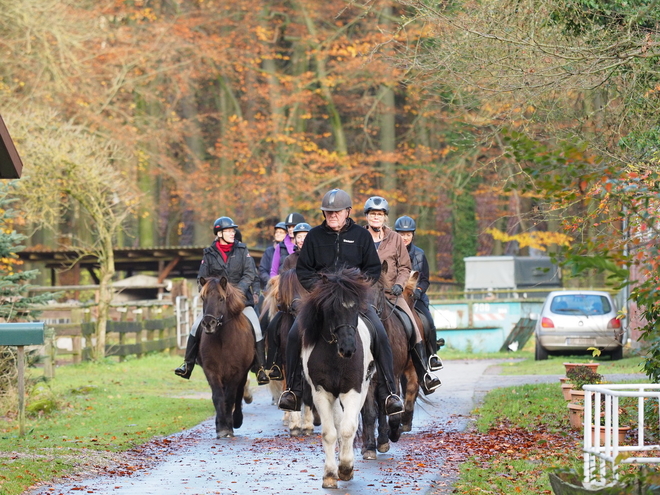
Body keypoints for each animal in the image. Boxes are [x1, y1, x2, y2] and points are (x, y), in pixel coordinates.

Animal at [197, 278, 254, 440]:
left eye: (221, 298)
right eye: (203, 298)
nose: (208, 324)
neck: (222, 338)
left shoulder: (237, 372)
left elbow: (230, 397)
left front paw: (229, 426)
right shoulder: (211, 371)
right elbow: (218, 397)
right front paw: (221, 427)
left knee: (239, 393)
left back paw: (237, 420)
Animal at [300, 270, 376, 490]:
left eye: (356, 308)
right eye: (331, 309)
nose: (348, 348)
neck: (335, 357)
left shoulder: (353, 391)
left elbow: (348, 428)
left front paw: (346, 468)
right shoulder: (322, 393)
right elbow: (330, 433)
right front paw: (330, 475)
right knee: (338, 422)